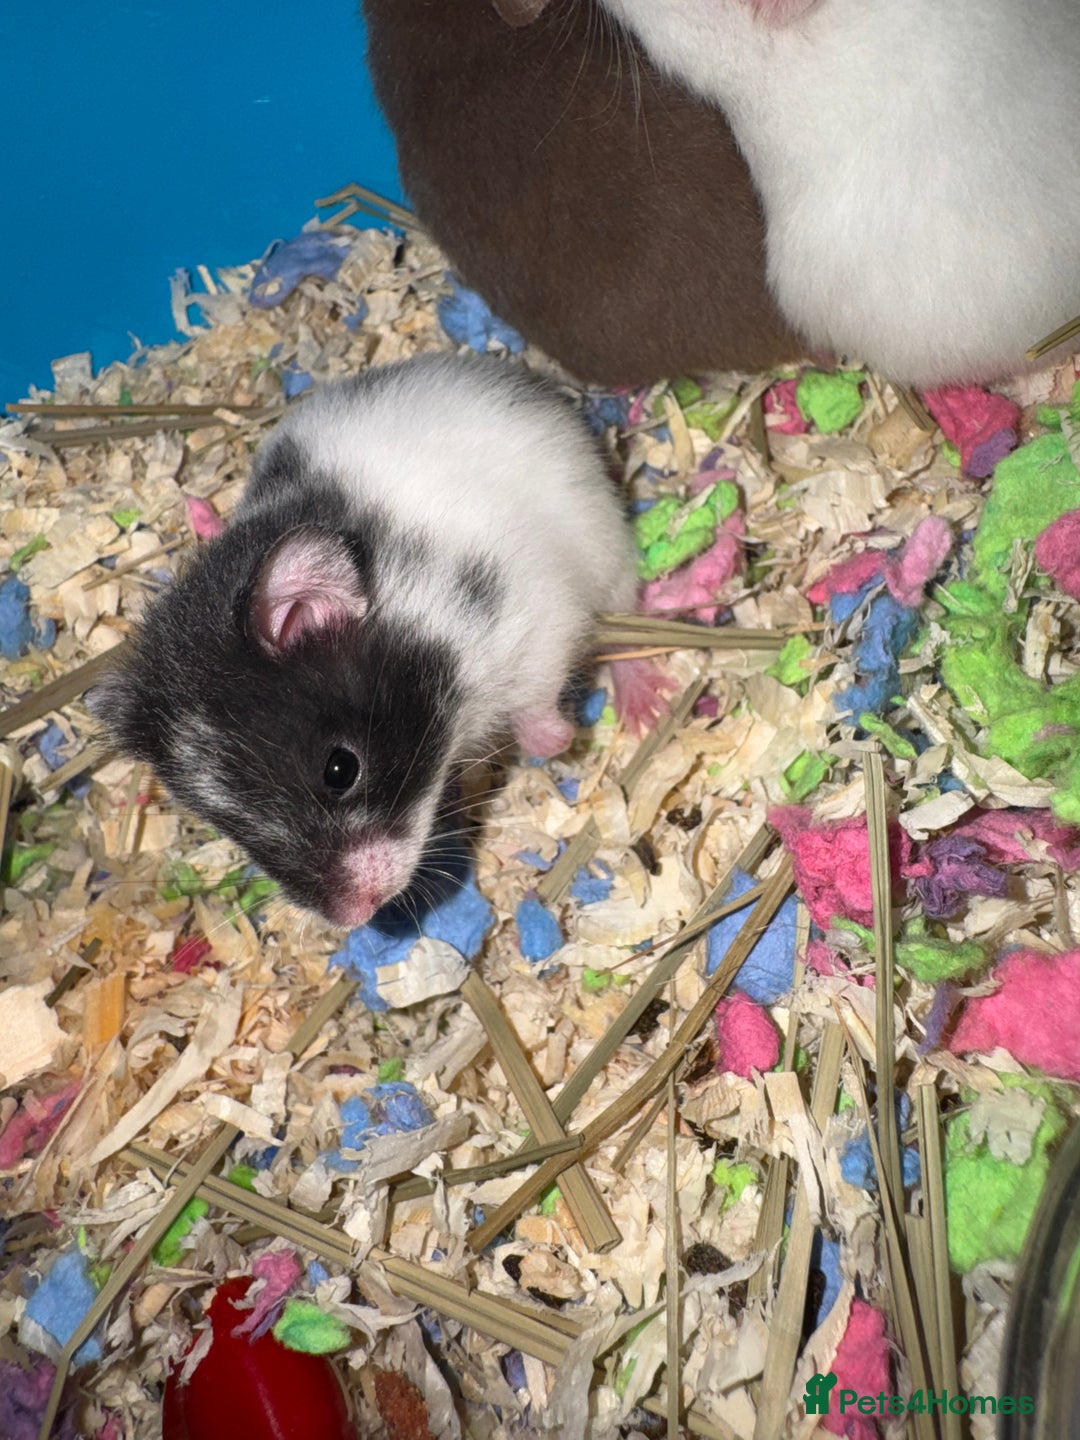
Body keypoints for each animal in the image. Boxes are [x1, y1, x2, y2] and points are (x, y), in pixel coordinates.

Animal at [90, 356, 639, 929]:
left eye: (341, 769)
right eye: (225, 822)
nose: (353, 917)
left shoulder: (536, 620)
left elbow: (539, 705)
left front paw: (554, 743)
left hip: (610, 549)